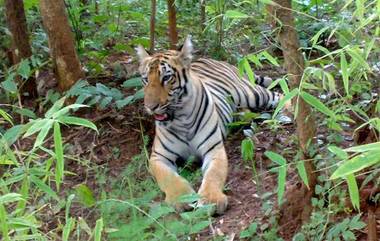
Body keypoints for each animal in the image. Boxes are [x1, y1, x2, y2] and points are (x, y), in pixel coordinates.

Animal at [137, 36, 282, 215]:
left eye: (166, 78)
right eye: (145, 79)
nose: (150, 106)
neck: (181, 118)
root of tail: (214, 59)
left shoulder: (214, 149)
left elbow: (214, 174)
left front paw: (210, 200)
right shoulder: (158, 156)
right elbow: (168, 177)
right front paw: (182, 198)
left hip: (250, 93)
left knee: (279, 94)